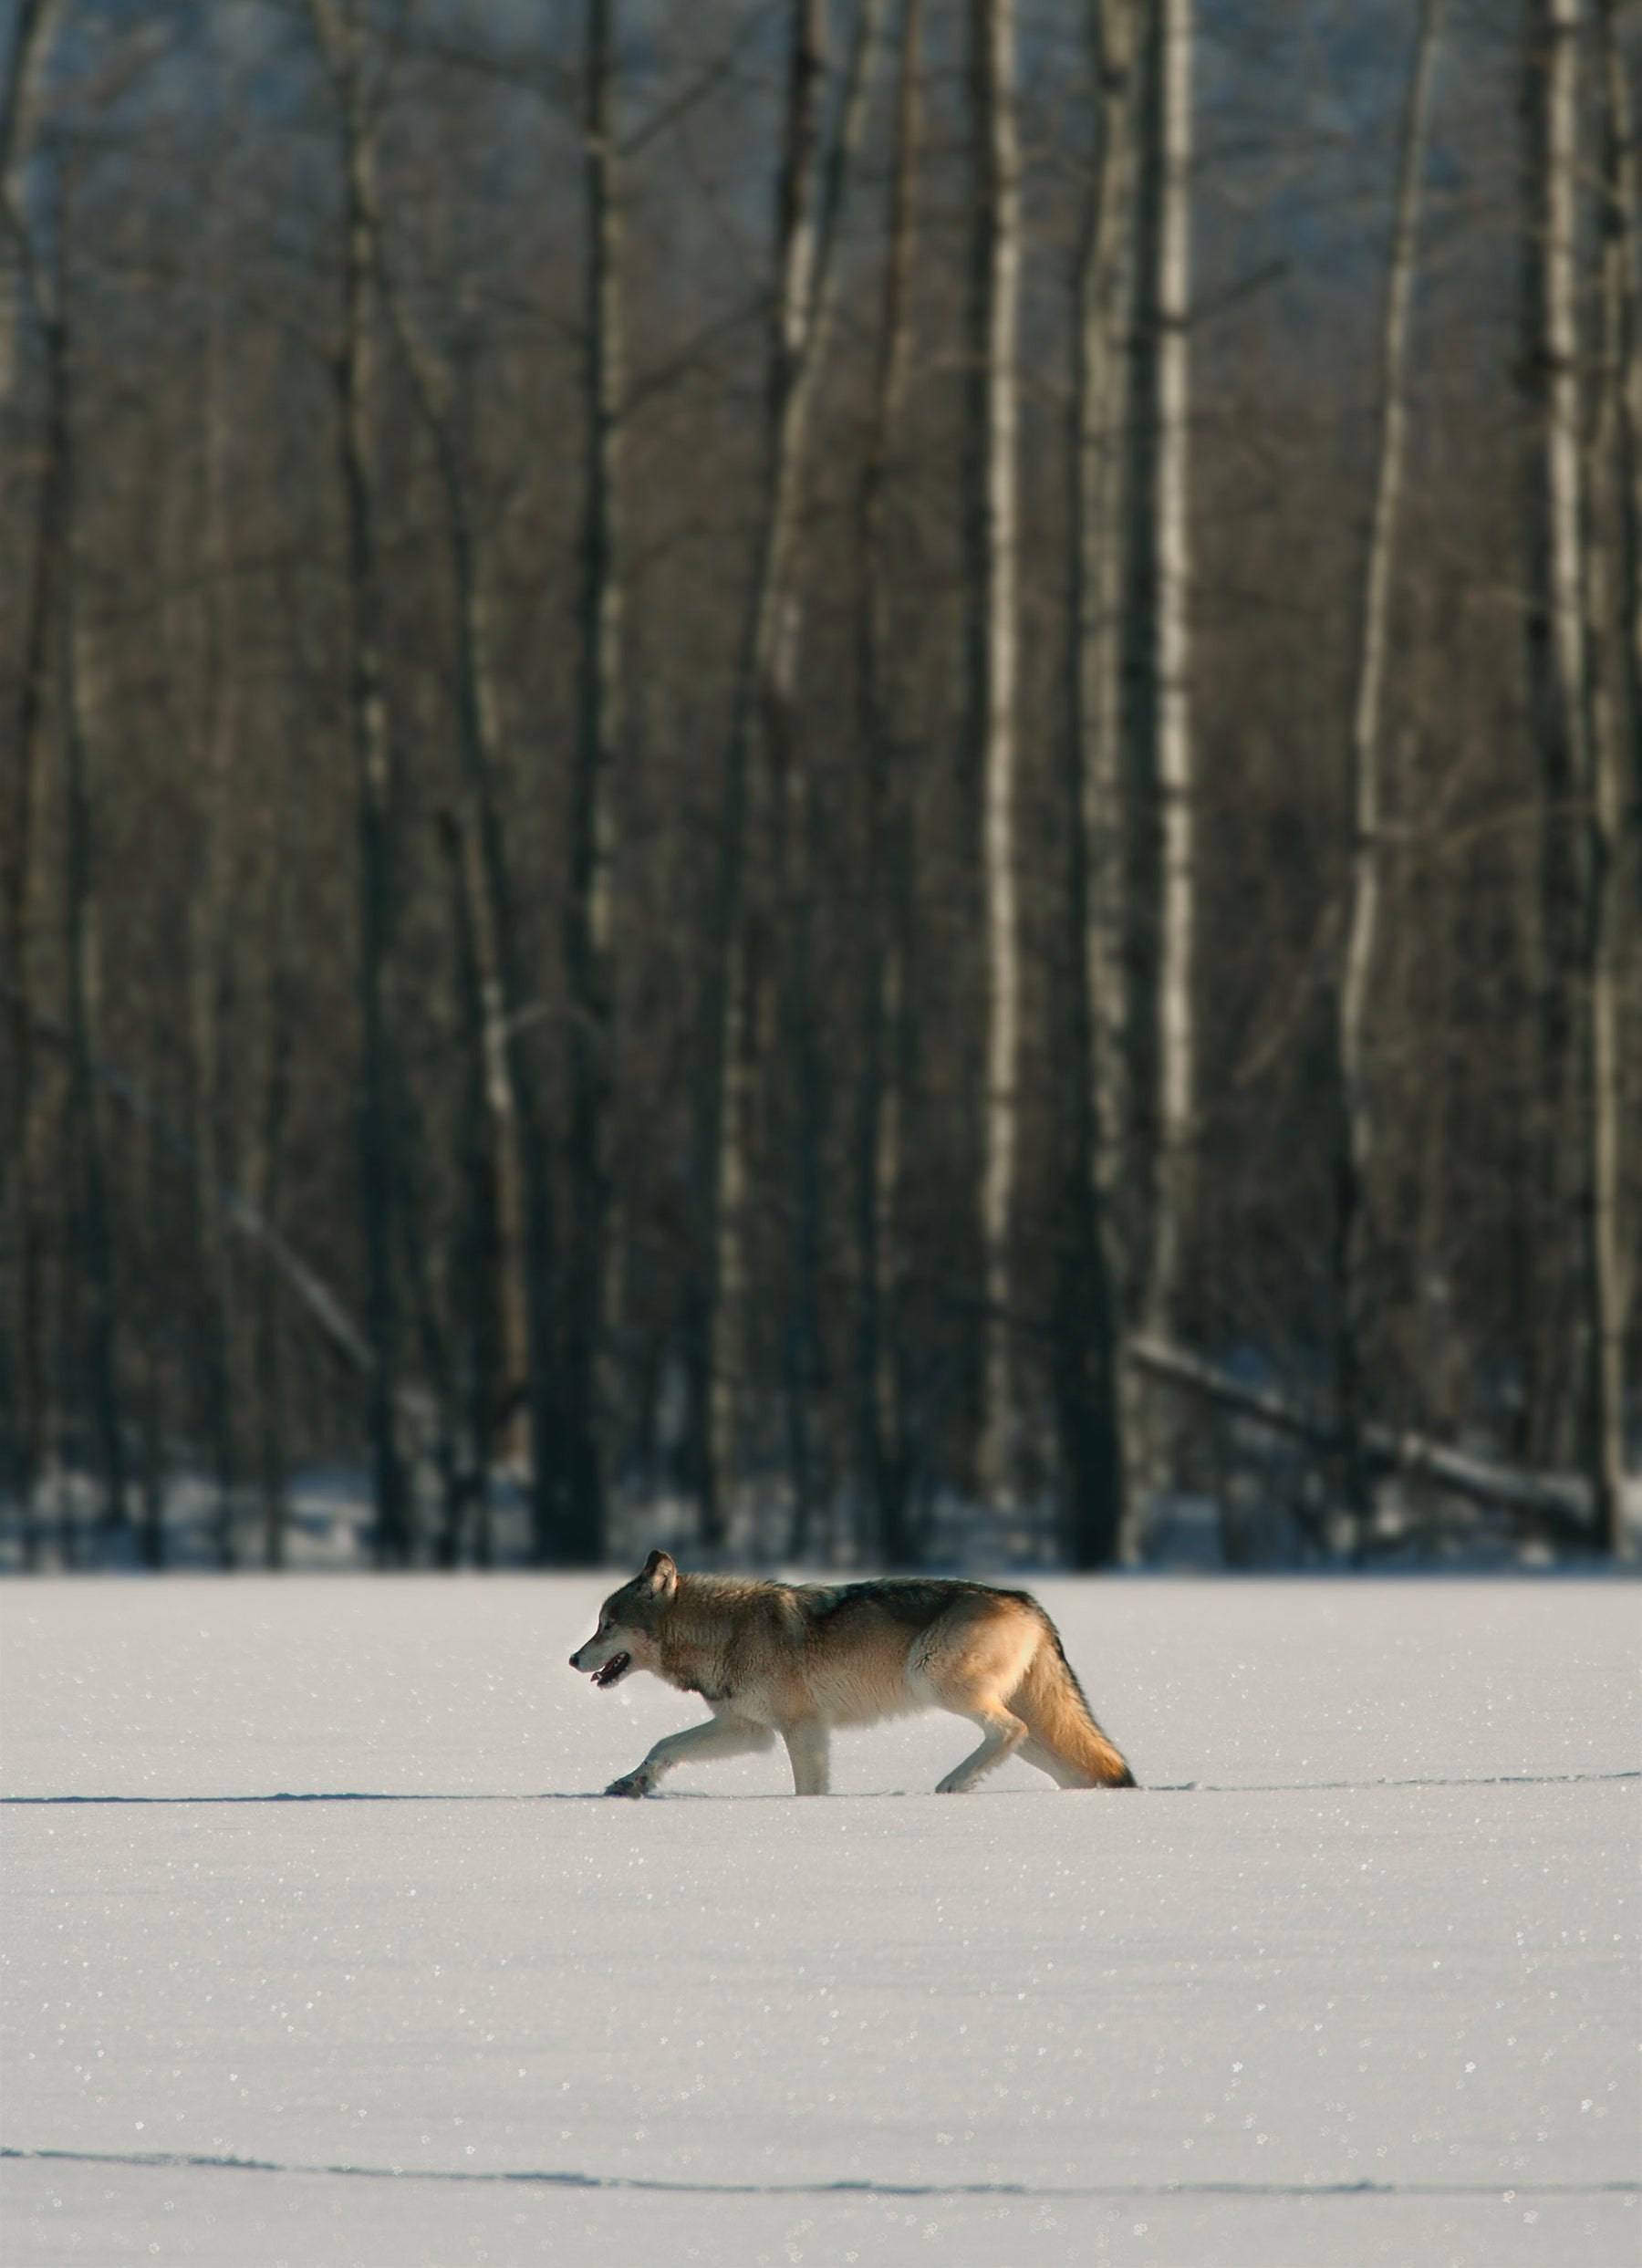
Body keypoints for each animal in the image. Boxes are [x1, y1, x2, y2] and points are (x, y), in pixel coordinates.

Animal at [571, 1551, 1134, 1795]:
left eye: (606, 1625)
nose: (574, 1660)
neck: (725, 1631)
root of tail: (1027, 1601)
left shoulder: (803, 1729)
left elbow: (809, 1789)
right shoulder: (749, 1730)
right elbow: (663, 1746)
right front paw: (633, 1783)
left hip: (934, 1679)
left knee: (1007, 1730)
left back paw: (952, 1784)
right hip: (1038, 1736)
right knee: (1074, 1767)